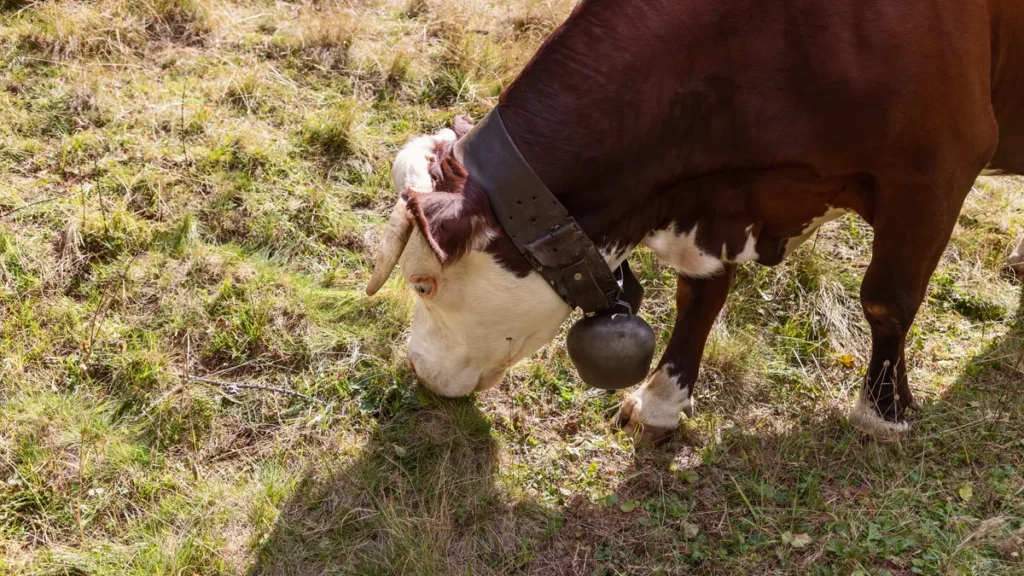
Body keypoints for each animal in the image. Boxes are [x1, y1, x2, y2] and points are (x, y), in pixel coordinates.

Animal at [366, 0, 1024, 442]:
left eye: (422, 284)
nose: (417, 367)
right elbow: (699, 294)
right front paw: (661, 398)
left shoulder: (936, 168)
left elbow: (886, 300)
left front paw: (883, 412)